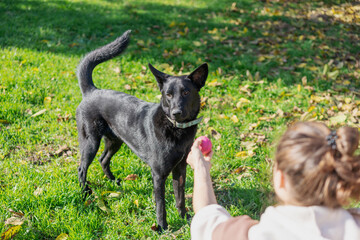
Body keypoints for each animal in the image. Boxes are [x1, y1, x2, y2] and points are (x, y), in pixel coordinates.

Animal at [76, 30, 208, 231]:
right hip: (90, 142)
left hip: (115, 141)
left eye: (186, 92)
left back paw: (114, 182)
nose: (176, 113)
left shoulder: (180, 169)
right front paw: (162, 227)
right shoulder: (158, 174)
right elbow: (161, 204)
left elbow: (180, 197)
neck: (175, 129)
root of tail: (91, 91)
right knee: (82, 168)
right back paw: (85, 193)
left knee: (103, 159)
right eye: (168, 95)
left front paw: (185, 218)